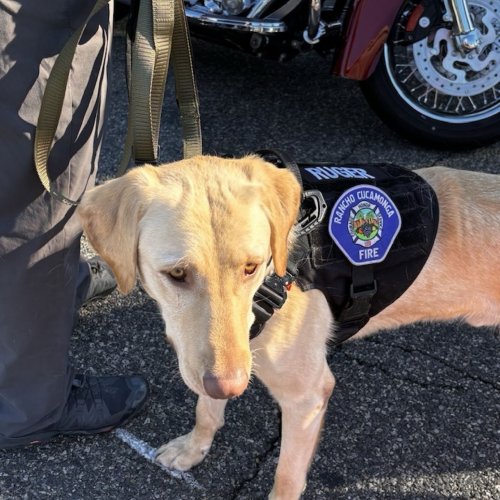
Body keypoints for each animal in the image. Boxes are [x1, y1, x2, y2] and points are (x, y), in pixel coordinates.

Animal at [78, 156, 500, 500]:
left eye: (251, 266)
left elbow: (286, 477)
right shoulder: (219, 363)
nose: (232, 386)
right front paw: (193, 447)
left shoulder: (306, 398)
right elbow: (206, 409)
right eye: (177, 274)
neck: (278, 277)